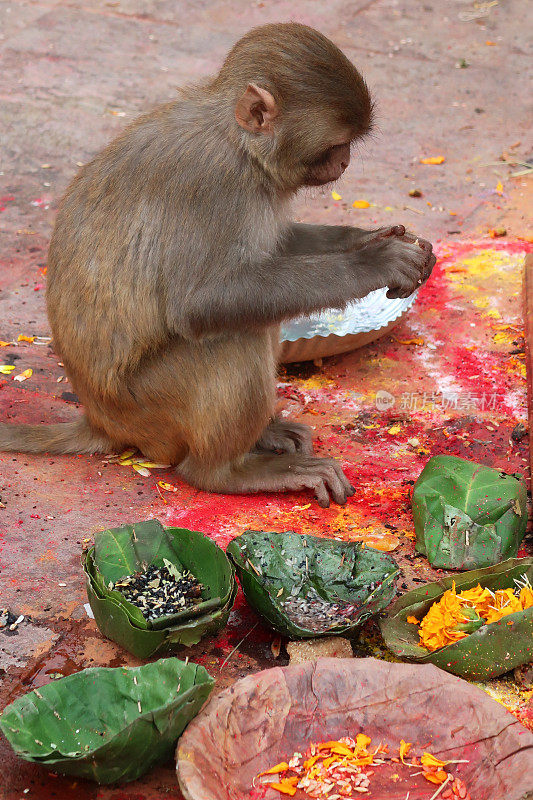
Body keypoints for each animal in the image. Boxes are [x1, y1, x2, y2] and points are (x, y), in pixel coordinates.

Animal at [0, 23, 432, 506]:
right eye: (336, 144)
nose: (345, 160)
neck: (239, 143)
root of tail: (100, 420)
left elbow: (275, 247)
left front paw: (376, 238)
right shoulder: (211, 183)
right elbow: (200, 303)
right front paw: (375, 261)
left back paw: (266, 436)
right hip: (148, 407)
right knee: (235, 337)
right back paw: (228, 472)